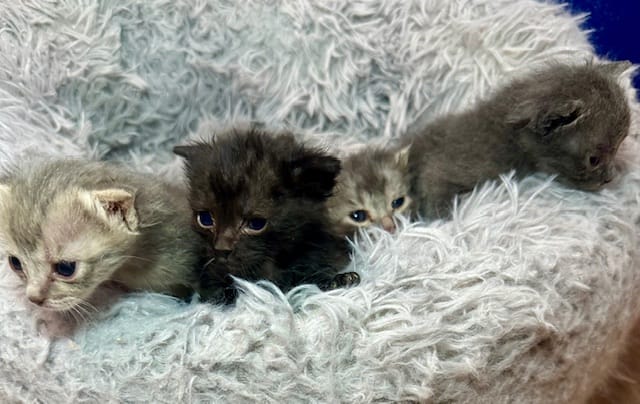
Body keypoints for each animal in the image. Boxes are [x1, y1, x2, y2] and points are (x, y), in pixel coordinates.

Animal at [402, 60, 632, 218]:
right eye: (594, 160)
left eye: (619, 146)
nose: (610, 178)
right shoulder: (444, 167)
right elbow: (434, 183)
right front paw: (441, 220)